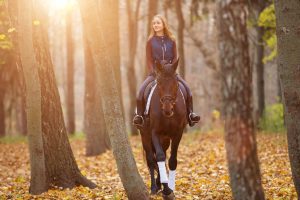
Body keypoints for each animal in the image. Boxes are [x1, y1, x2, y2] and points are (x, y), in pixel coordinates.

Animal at [139, 58, 186, 199]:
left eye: (175, 83)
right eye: (159, 83)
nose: (167, 109)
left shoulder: (178, 133)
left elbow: (172, 160)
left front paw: (170, 187)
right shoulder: (154, 133)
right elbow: (159, 157)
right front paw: (166, 190)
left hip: (165, 139)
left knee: (163, 156)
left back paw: (160, 183)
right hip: (145, 136)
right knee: (151, 160)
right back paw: (154, 187)